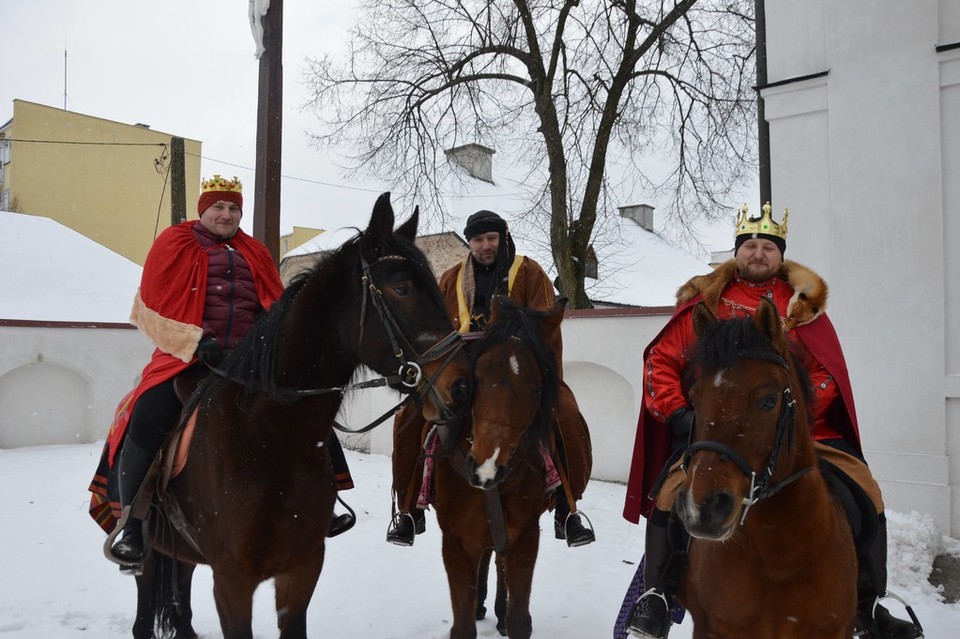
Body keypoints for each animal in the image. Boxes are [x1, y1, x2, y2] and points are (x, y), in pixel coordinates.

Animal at [124, 194, 472, 639]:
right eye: (402, 288)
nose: (462, 386)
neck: (269, 438)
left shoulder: (302, 569)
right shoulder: (232, 580)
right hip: (149, 551)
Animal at [432, 296, 572, 639]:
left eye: (537, 389)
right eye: (477, 378)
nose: (486, 469)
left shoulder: (525, 537)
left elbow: (520, 618)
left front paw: (508, 617)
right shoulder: (454, 541)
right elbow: (463, 625)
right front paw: (474, 607)